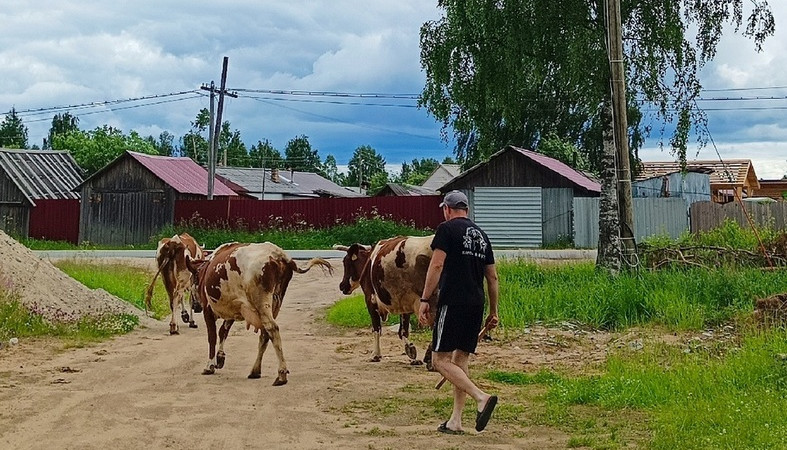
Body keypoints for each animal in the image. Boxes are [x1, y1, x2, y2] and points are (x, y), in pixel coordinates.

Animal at [188, 243, 332, 384]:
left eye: (192, 282)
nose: (195, 306)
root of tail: (278, 254)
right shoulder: (234, 309)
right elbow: (223, 331)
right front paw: (220, 357)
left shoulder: (208, 309)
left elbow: (212, 336)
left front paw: (209, 366)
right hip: (275, 302)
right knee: (265, 334)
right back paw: (255, 371)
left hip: (261, 302)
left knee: (272, 328)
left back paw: (281, 374)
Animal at [336, 234, 440, 368]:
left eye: (345, 262)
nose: (341, 285)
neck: (370, 261)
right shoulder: (405, 303)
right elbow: (403, 331)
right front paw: (411, 353)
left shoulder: (371, 299)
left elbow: (376, 328)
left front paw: (375, 355)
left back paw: (431, 360)